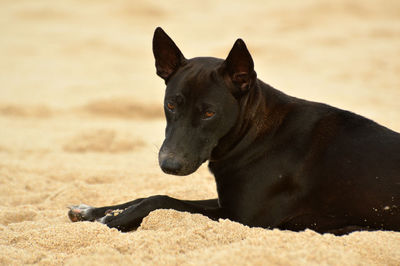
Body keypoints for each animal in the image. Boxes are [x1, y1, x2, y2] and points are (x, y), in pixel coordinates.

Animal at [67, 27, 398, 235]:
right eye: (171, 105)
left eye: (209, 113)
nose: (169, 165)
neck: (256, 135)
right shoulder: (226, 202)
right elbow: (148, 195)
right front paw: (94, 211)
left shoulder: (238, 217)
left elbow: (160, 199)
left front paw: (111, 222)